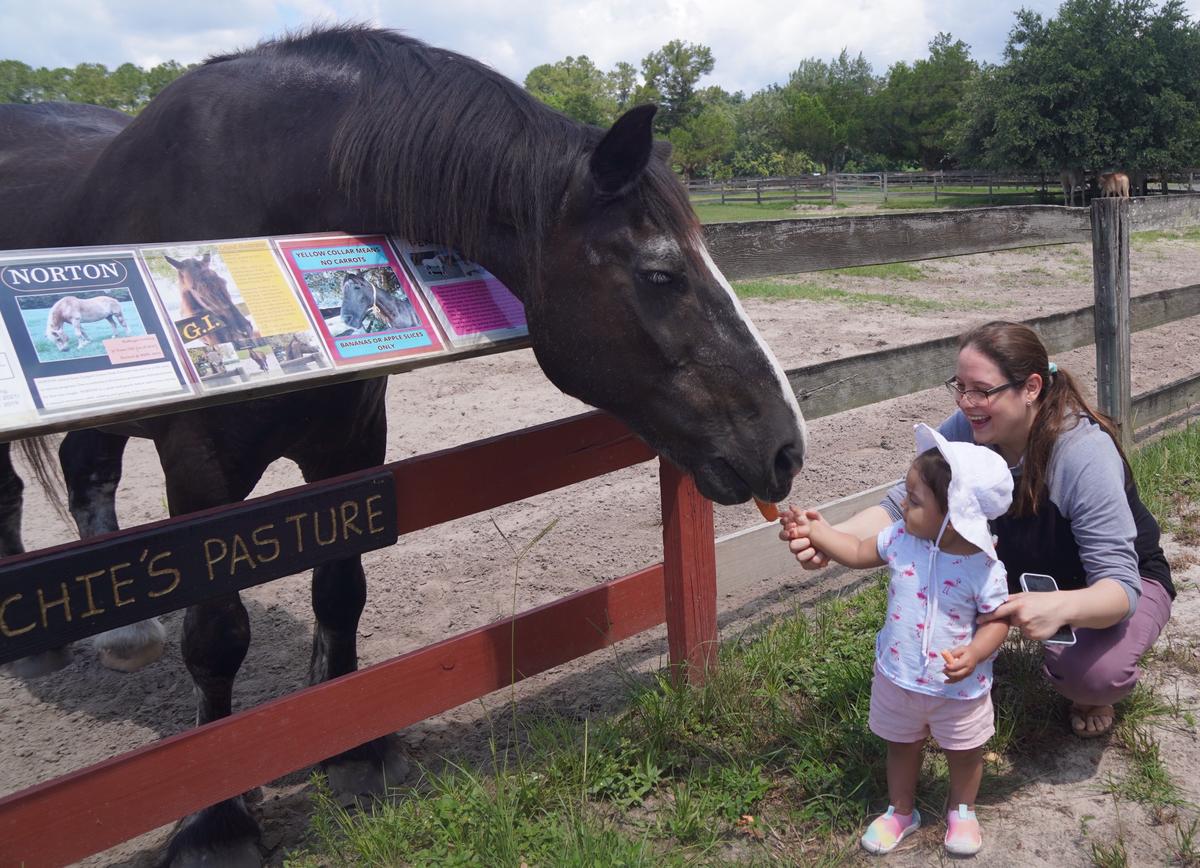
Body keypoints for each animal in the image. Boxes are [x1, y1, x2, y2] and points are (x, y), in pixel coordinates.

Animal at [0, 26, 805, 866]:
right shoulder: (200, 475)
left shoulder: (350, 447)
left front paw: (352, 750)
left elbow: (340, 592)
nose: (785, 447)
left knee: (83, 464)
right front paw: (216, 820)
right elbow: (218, 635)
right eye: (659, 274)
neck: (263, 198)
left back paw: (117, 636)